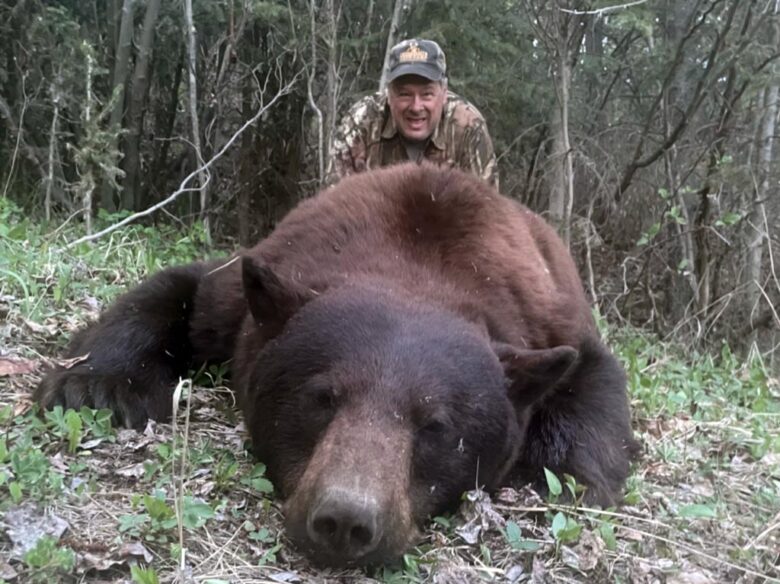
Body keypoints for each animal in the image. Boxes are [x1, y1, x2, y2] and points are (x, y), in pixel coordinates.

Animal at [35, 163, 639, 567]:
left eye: (437, 426)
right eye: (322, 397)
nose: (346, 520)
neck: (419, 266)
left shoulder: (550, 319)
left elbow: (592, 377)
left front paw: (559, 483)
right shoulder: (257, 288)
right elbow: (182, 290)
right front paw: (96, 385)